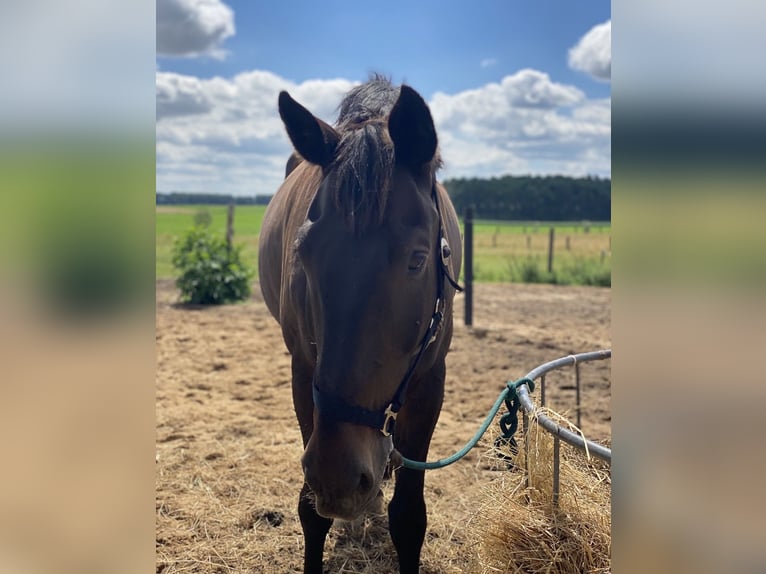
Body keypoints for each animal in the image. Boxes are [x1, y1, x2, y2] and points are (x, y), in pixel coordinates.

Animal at [258, 77, 463, 574]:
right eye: (304, 253)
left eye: (417, 259)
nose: (340, 480)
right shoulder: (303, 374)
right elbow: (311, 511)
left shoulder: (431, 380)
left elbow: (408, 518)